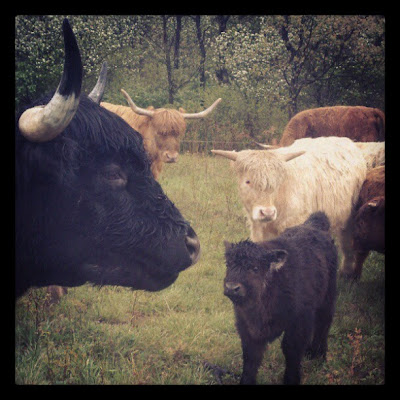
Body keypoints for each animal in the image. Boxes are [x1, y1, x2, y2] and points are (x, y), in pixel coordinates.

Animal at [212, 136, 371, 276]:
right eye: (248, 181)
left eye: (277, 182)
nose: (267, 212)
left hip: (350, 218)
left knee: (346, 241)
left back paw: (346, 272)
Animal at [224, 212, 338, 385]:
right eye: (228, 265)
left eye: (255, 268)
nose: (232, 287)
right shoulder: (247, 328)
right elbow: (251, 358)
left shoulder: (298, 322)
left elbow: (291, 350)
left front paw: (292, 379)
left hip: (327, 299)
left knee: (323, 325)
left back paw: (319, 356)